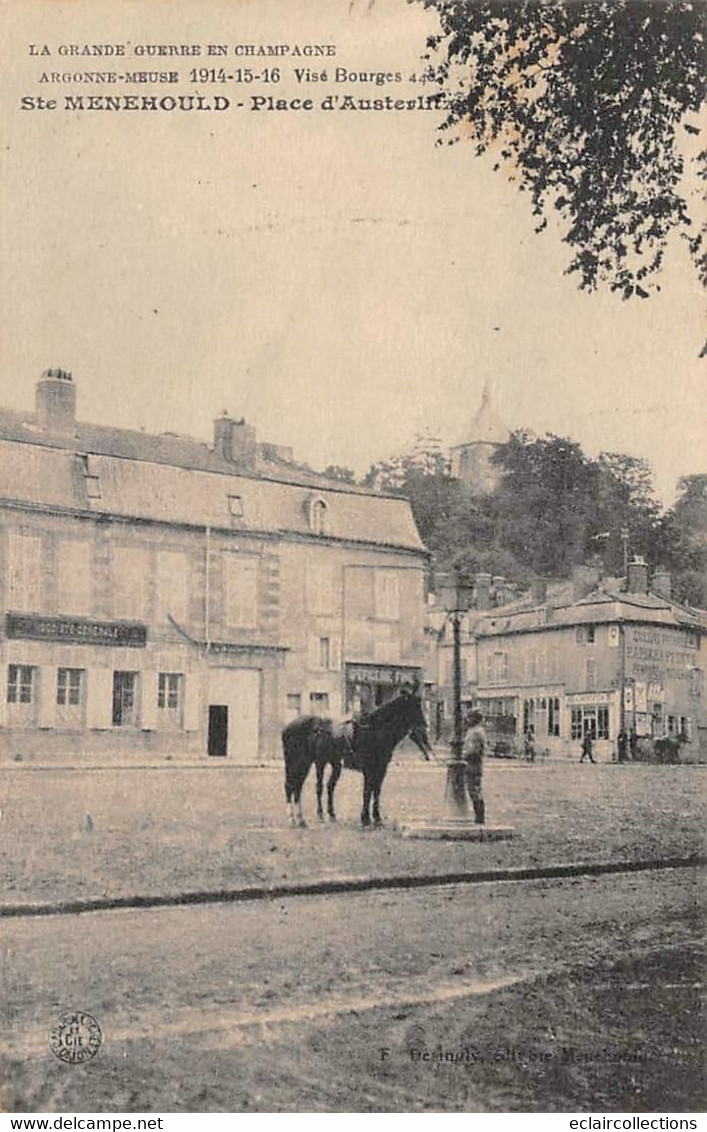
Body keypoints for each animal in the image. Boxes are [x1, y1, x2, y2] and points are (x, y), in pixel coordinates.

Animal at [281, 683, 429, 828]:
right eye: (414, 706)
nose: (424, 725)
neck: (375, 730)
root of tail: (287, 728)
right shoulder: (369, 769)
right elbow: (367, 791)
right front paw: (366, 819)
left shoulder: (381, 769)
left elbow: (376, 791)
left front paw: (377, 819)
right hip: (304, 762)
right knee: (295, 786)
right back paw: (295, 819)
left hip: (313, 764)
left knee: (300, 786)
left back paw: (304, 820)